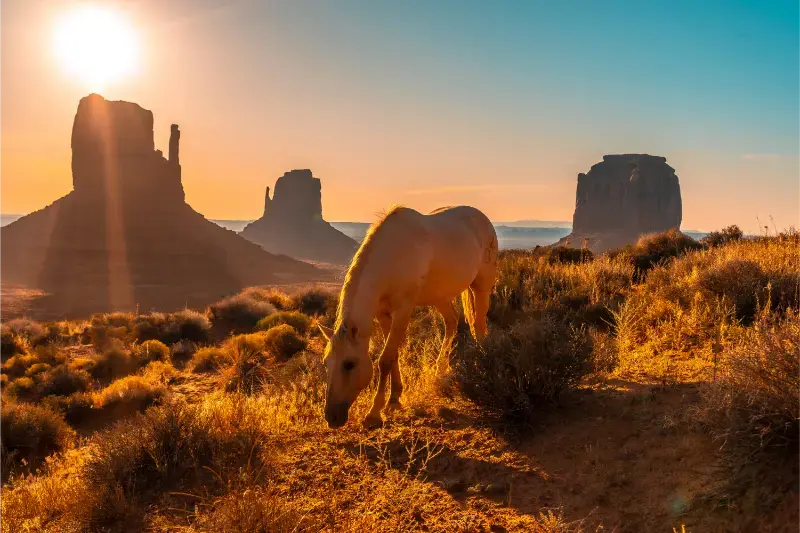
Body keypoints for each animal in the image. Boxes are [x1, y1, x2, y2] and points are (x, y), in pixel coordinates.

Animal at [319, 205, 498, 429]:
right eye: (326, 363)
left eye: (349, 364)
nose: (332, 417)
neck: (391, 256)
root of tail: (482, 218)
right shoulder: (382, 314)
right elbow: (393, 355)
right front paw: (394, 399)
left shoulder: (402, 311)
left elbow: (385, 359)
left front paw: (374, 413)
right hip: (440, 296)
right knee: (452, 321)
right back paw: (441, 368)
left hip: (482, 286)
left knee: (479, 324)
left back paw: (481, 363)